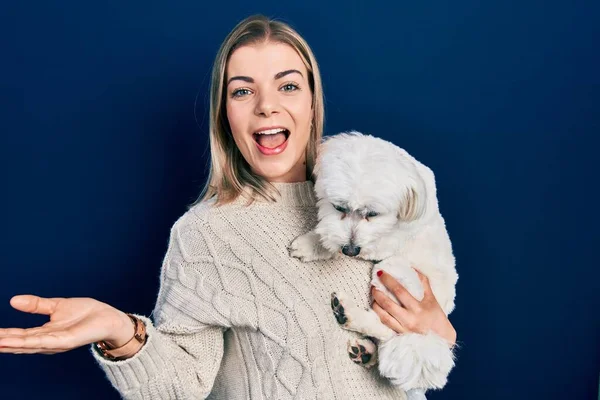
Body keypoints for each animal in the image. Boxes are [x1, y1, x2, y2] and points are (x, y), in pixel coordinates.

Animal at [290, 132, 460, 400]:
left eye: (372, 214)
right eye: (339, 207)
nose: (350, 250)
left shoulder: (389, 240)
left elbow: (348, 242)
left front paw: (314, 242)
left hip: (394, 271)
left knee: (388, 329)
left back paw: (349, 314)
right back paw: (366, 352)